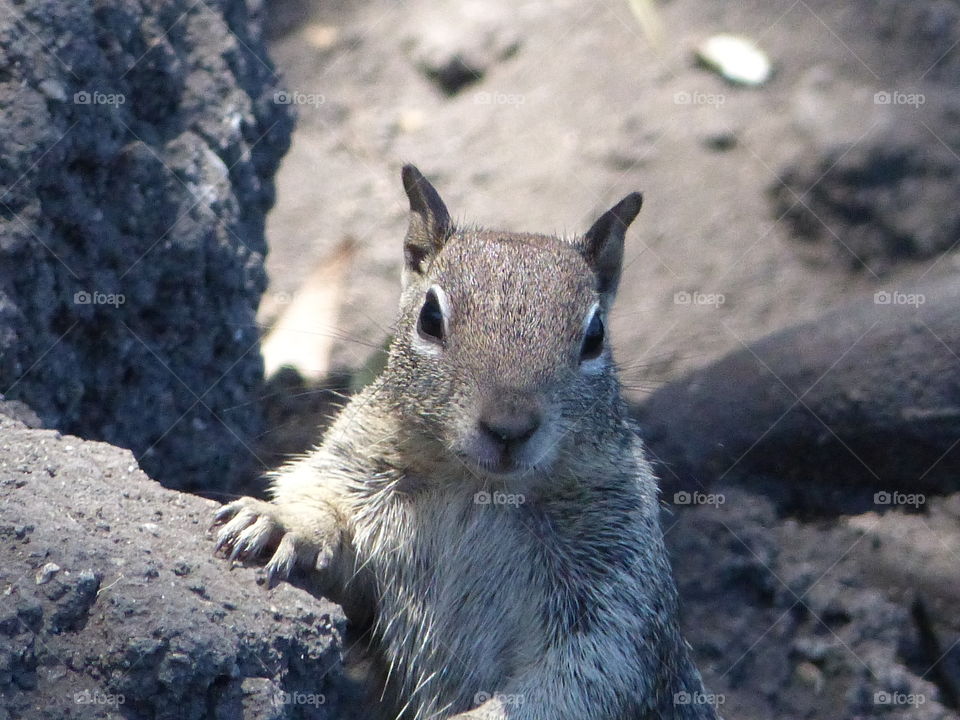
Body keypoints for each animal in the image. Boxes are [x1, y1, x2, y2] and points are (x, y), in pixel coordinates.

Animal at [212, 165, 719, 720]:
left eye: (596, 336)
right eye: (430, 319)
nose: (509, 428)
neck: (477, 487)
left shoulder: (617, 582)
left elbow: (583, 678)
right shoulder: (361, 473)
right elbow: (337, 544)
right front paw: (283, 522)